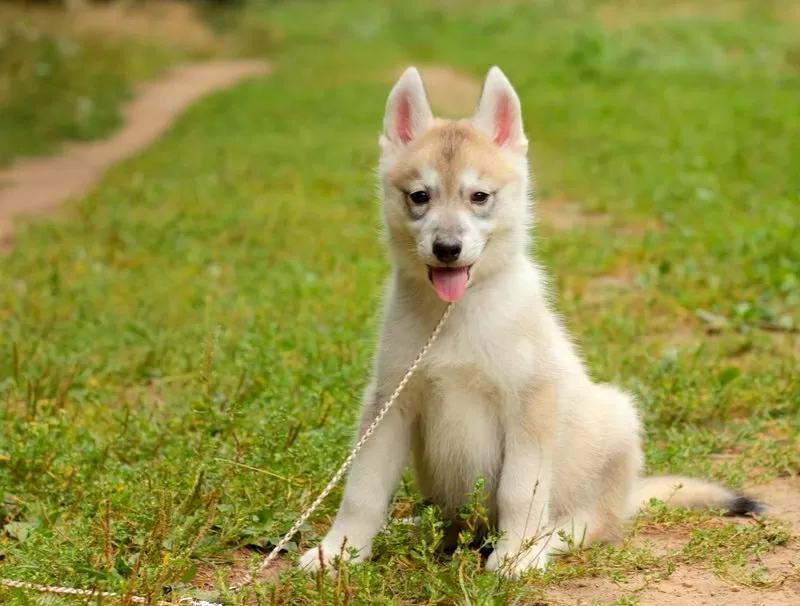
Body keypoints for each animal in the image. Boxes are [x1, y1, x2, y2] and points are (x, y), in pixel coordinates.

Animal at [296, 66, 760, 580]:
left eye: (479, 197)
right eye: (419, 196)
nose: (447, 248)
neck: (455, 315)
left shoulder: (529, 405)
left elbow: (520, 492)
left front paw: (516, 554)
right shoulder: (390, 401)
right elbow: (362, 491)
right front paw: (339, 551)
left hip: (615, 418)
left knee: (591, 522)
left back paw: (547, 542)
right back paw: (416, 529)